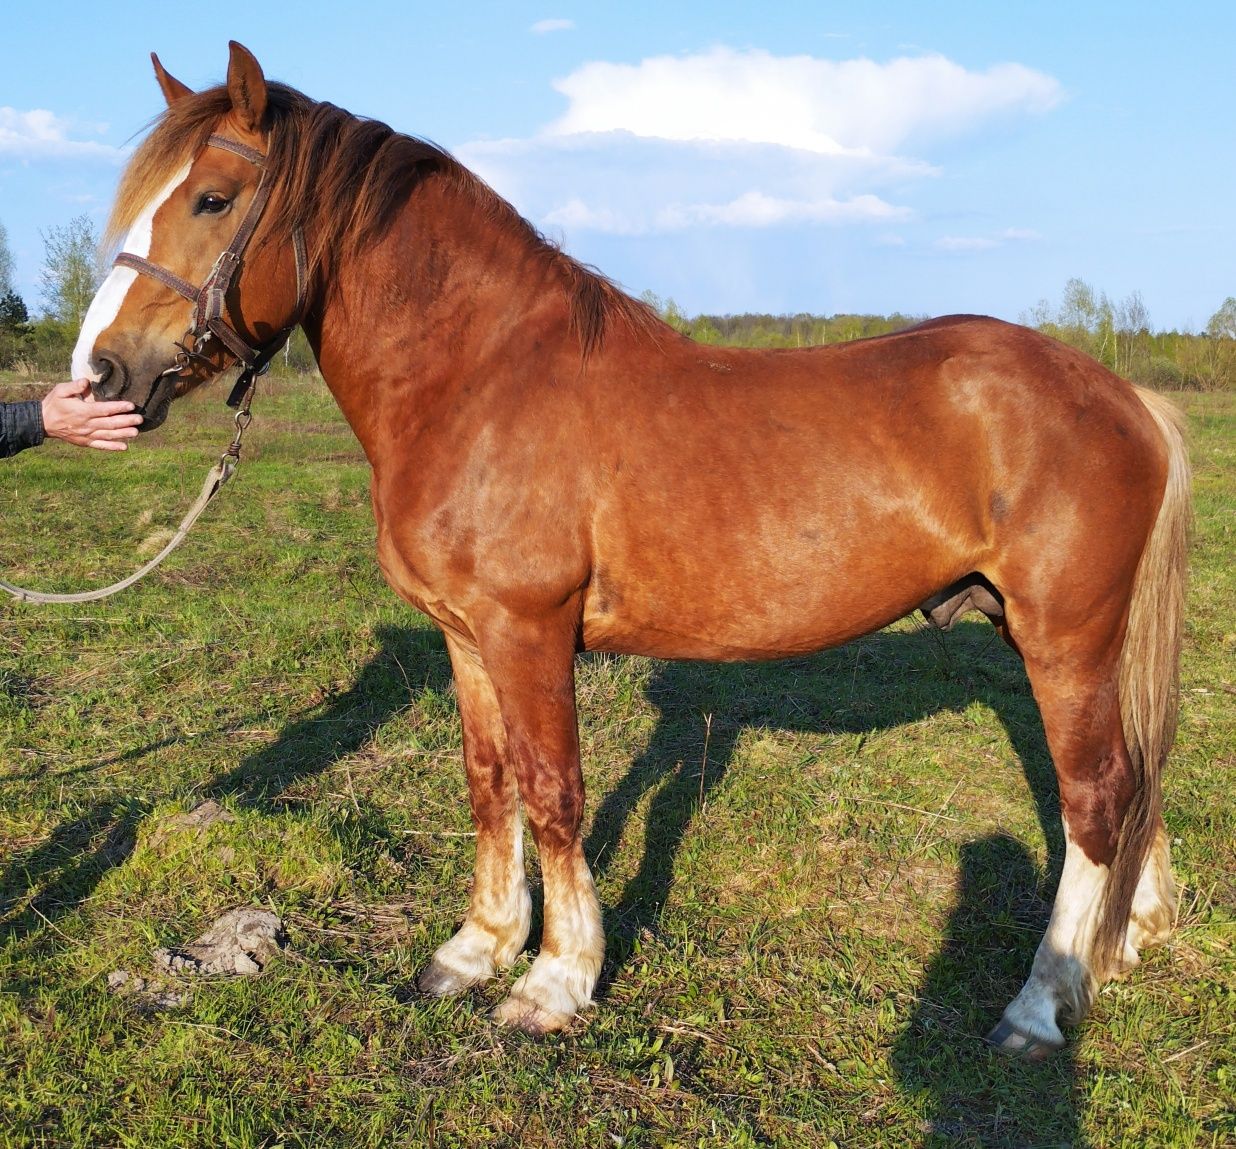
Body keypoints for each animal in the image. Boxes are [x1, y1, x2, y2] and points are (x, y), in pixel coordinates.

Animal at [70, 44, 1186, 1052]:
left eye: (212, 199)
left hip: (1064, 637)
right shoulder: (466, 640)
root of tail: (1124, 396)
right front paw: (474, 950)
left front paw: (555, 981)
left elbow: (555, 796)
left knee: (1095, 798)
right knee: (1130, 779)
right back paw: (1125, 943)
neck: (480, 380)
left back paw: (1040, 1005)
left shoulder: (528, 634)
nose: (102, 373)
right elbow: (491, 784)